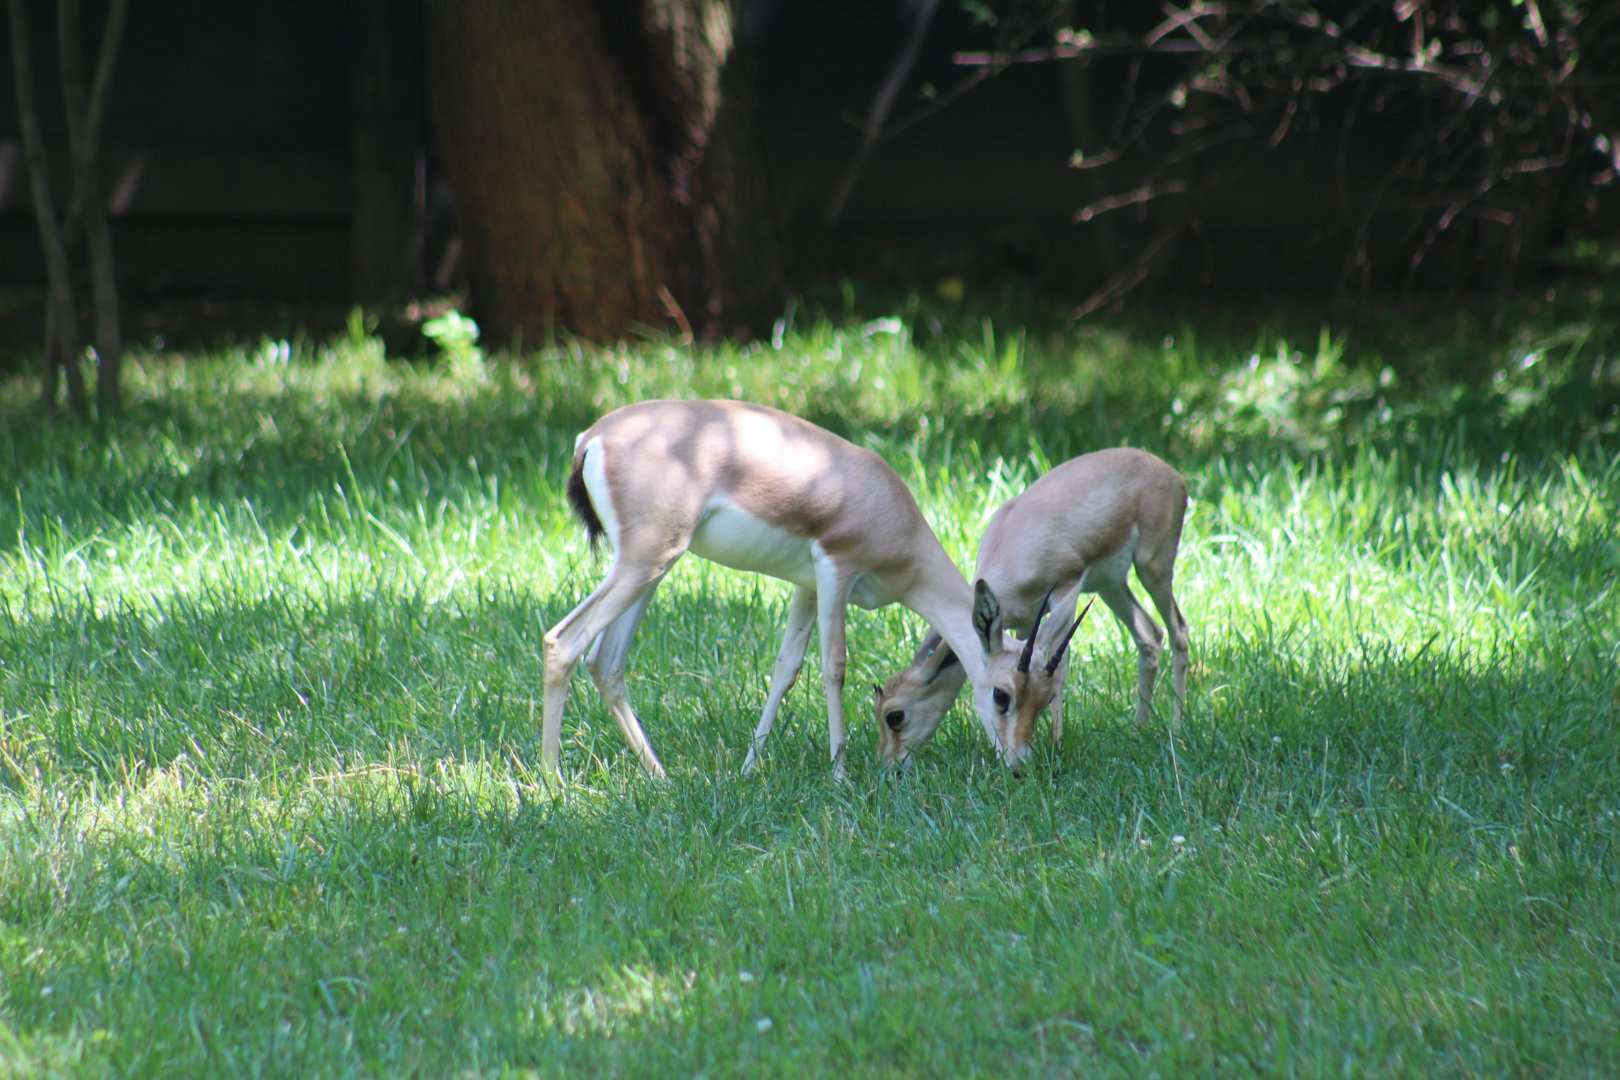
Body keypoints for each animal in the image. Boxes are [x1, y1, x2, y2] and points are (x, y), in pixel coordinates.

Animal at [541, 398, 1027, 781]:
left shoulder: (806, 586)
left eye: (1040, 692)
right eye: (1003, 695)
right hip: (645, 563)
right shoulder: (835, 568)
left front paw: (749, 768)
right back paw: (554, 784)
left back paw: (662, 778)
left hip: (650, 569)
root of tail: (594, 437)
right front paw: (840, 774)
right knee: (562, 643)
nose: (1020, 765)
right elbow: (835, 666)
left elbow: (786, 668)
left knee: (605, 662)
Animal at [873, 447, 1190, 769]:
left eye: (895, 715)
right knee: (1149, 635)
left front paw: (1057, 744)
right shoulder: (1023, 622)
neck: (1012, 546)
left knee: (1179, 630)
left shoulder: (1066, 592)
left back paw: (1177, 732)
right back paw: (1138, 729)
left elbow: (1059, 668)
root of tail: (1168, 471)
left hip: (1152, 567)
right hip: (1110, 584)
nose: (888, 765)